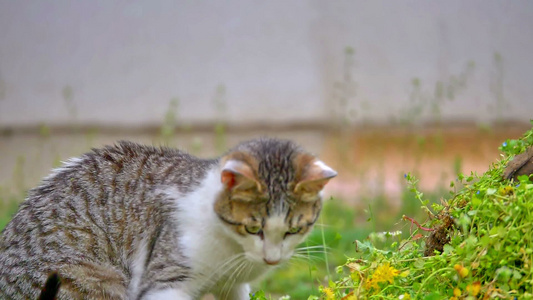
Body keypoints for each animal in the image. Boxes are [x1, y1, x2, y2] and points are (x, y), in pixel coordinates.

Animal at [0, 138, 332, 300]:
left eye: (294, 229)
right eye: (252, 227)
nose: (272, 259)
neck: (232, 251)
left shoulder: (233, 286)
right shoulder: (165, 282)